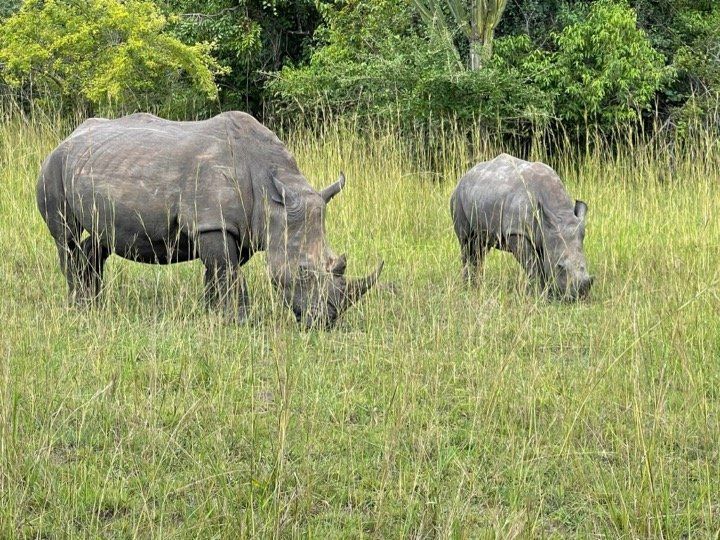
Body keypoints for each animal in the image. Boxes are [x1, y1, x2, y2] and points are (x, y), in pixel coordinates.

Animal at [35, 112, 382, 326]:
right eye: (302, 272)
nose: (326, 319)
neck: (273, 192)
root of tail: (68, 136)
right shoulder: (213, 222)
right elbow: (227, 271)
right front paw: (240, 321)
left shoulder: (241, 228)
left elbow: (219, 272)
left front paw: (212, 313)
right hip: (53, 166)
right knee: (65, 237)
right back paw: (78, 305)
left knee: (101, 238)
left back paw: (96, 302)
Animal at [452, 154, 592, 302]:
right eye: (560, 267)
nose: (579, 296)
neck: (558, 211)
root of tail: (465, 175)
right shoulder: (517, 232)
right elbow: (532, 265)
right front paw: (541, 295)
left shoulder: (546, 234)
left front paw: (548, 293)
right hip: (457, 198)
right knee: (466, 243)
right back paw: (468, 288)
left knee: (481, 247)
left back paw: (476, 286)